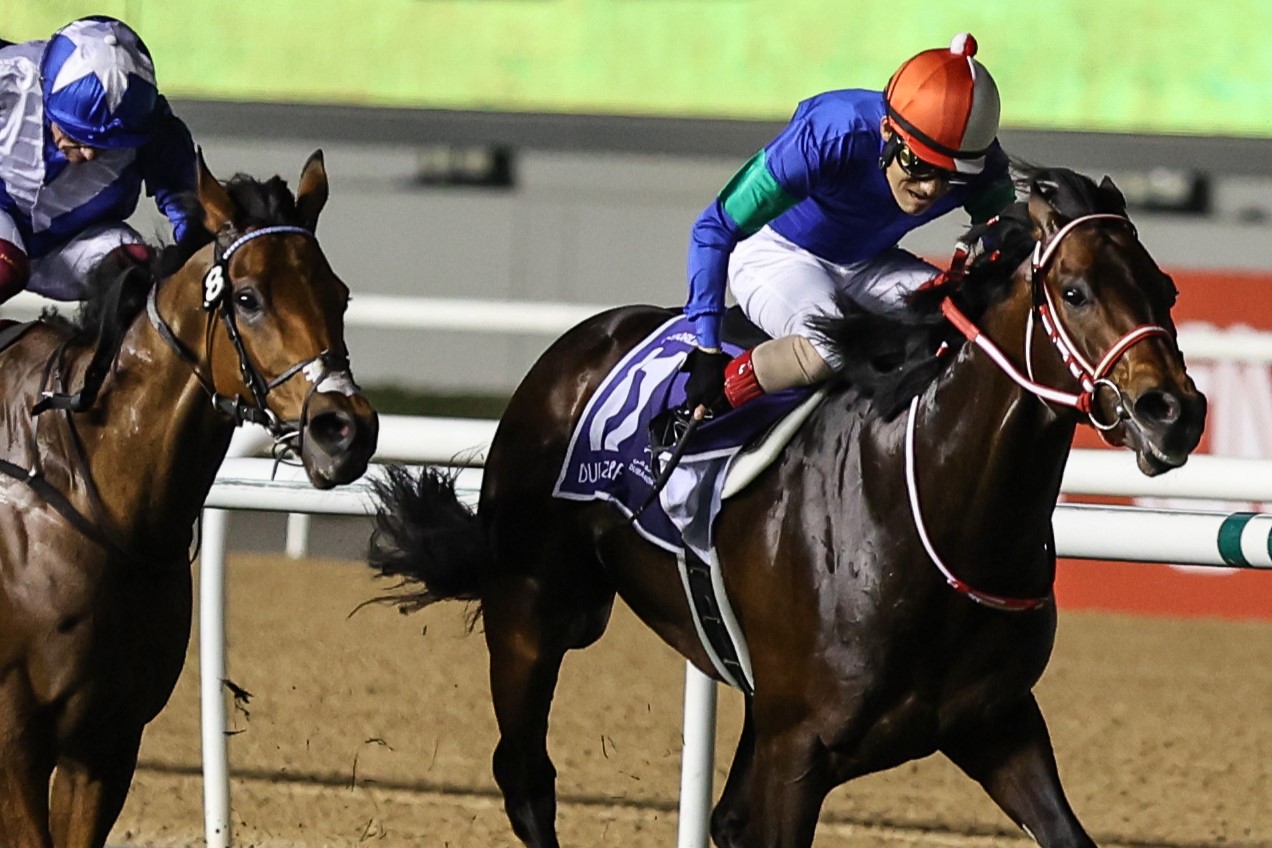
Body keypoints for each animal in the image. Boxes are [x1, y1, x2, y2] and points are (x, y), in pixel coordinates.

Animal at [368, 166, 1205, 848]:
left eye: (1166, 289)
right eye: (1075, 291)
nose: (1175, 412)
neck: (929, 513)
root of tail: (581, 341)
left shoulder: (993, 721)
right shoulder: (799, 750)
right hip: (535, 609)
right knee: (525, 778)